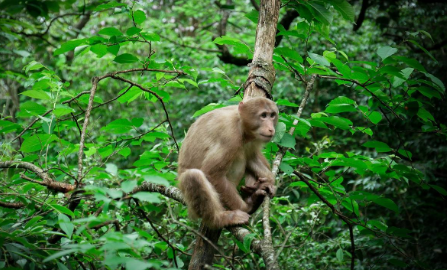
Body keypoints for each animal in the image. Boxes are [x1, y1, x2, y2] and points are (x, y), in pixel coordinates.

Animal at [178, 97, 276, 228]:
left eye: (272, 115)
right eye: (263, 115)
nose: (271, 128)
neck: (240, 122)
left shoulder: (251, 139)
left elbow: (251, 157)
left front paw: (269, 181)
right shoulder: (229, 136)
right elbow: (213, 173)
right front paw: (246, 207)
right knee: (193, 175)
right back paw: (221, 218)